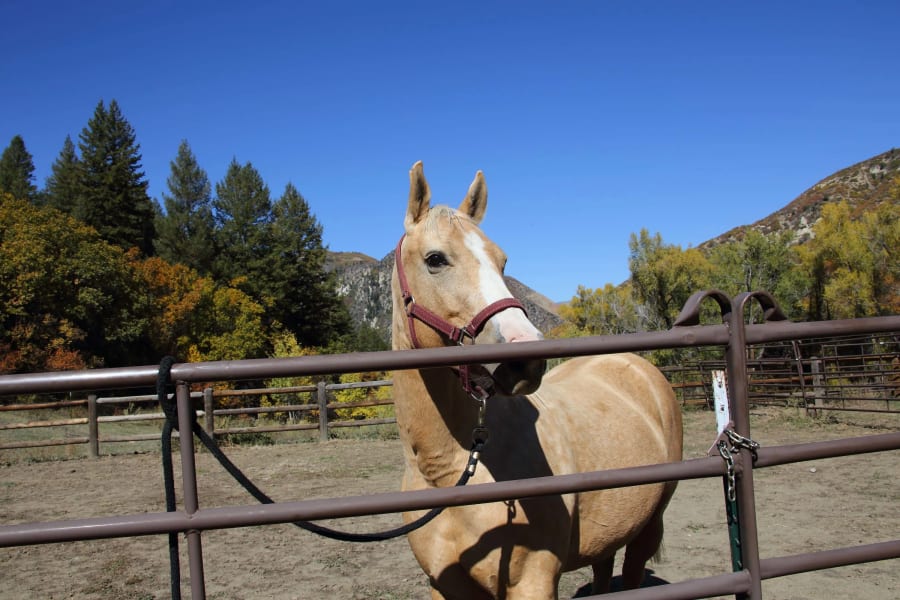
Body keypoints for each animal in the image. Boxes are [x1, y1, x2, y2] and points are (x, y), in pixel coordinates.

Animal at [392, 162, 684, 596]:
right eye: (435, 259)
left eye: (502, 261)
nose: (524, 358)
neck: (451, 470)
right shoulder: (444, 585)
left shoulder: (532, 582)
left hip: (649, 526)